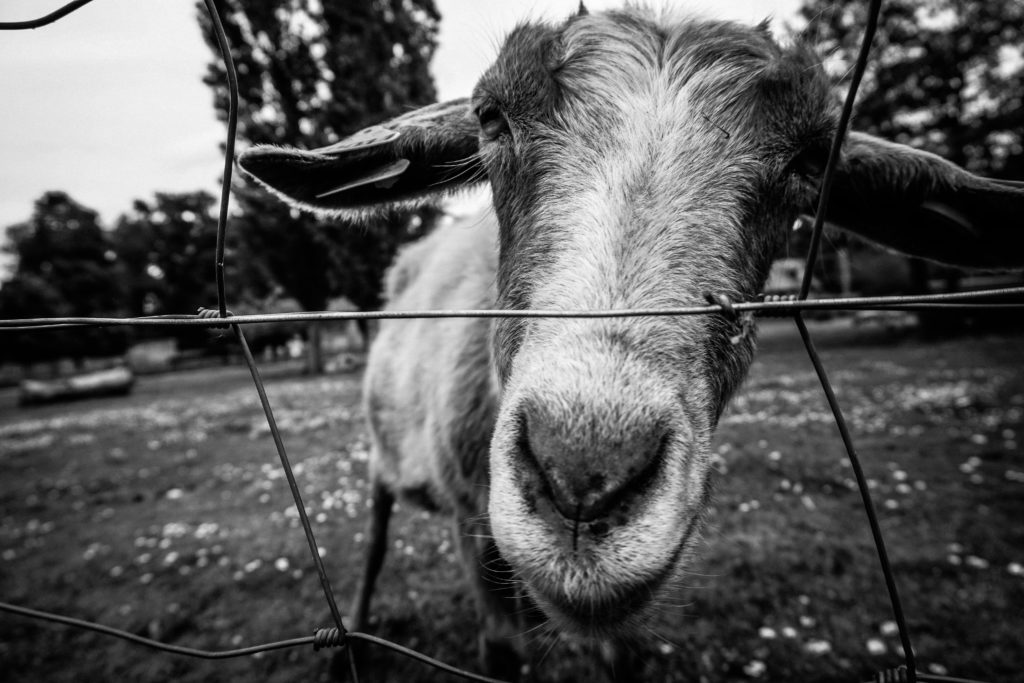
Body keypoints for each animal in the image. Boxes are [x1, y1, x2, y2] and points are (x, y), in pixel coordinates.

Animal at [237, 5, 1024, 678]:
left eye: (811, 159)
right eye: (492, 117)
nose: (582, 477)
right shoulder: (469, 519)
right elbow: (500, 648)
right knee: (373, 539)